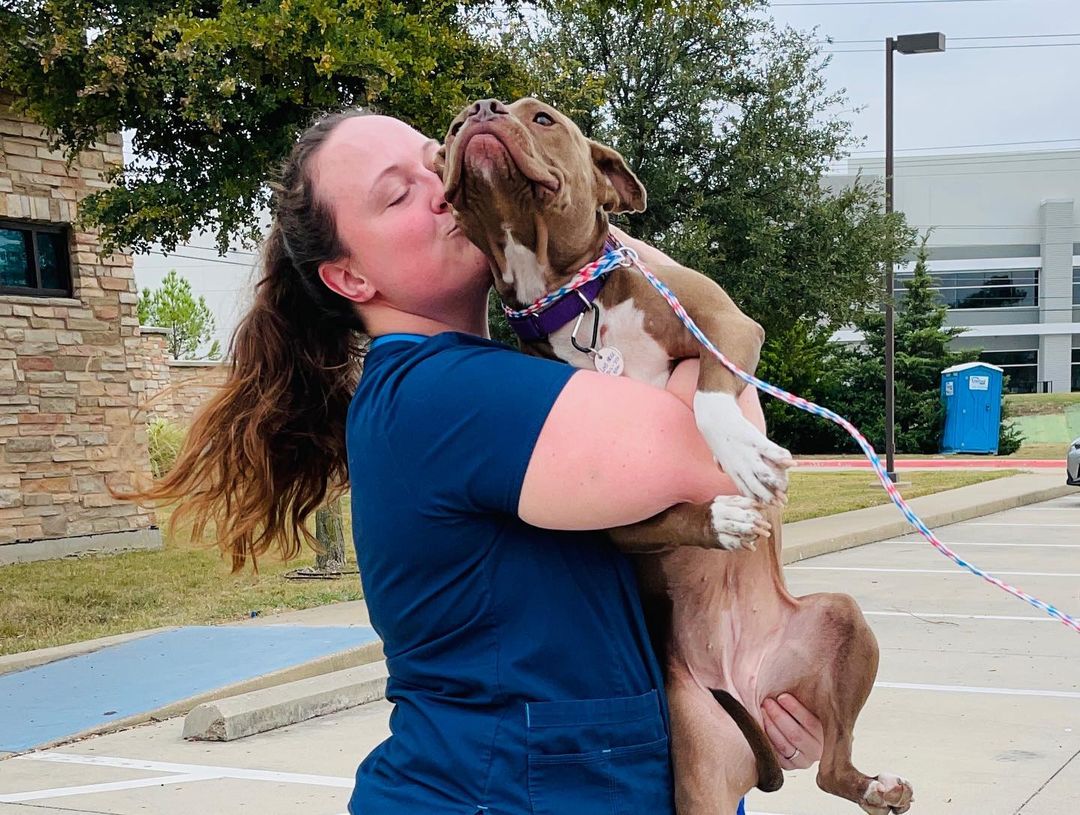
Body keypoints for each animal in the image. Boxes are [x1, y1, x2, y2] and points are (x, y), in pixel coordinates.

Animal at [434, 97, 915, 815]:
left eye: (544, 117)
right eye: (449, 132)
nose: (479, 108)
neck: (576, 301)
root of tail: (749, 686)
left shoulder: (725, 325)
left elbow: (711, 396)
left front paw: (741, 451)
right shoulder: (593, 504)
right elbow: (660, 512)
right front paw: (722, 518)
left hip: (843, 620)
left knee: (833, 763)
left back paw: (878, 785)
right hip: (698, 750)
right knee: (821, 774)